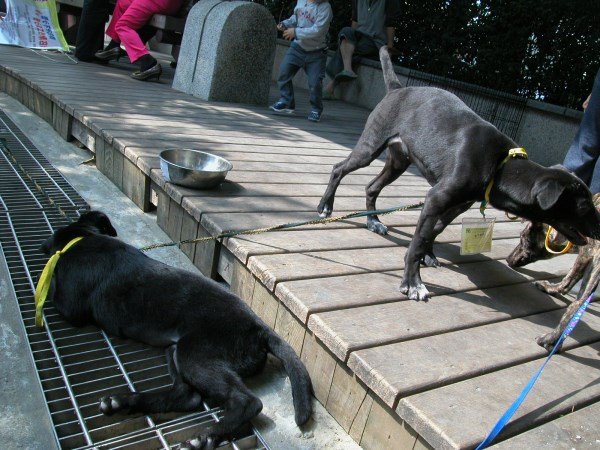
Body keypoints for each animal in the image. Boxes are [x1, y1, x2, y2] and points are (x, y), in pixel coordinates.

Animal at [39, 212, 312, 450]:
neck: (83, 238)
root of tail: (259, 327)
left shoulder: (70, 306)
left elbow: (52, 293)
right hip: (176, 350)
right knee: (186, 396)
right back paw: (124, 402)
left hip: (195, 355)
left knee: (248, 402)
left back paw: (205, 437)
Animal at [318, 46, 600, 302]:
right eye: (584, 206)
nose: (599, 231)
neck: (499, 165)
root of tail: (397, 88)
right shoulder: (436, 199)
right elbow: (418, 242)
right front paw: (413, 283)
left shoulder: (457, 205)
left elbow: (432, 232)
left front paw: (429, 255)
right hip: (370, 147)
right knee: (339, 169)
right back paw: (325, 206)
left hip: (398, 161)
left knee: (372, 187)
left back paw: (374, 221)